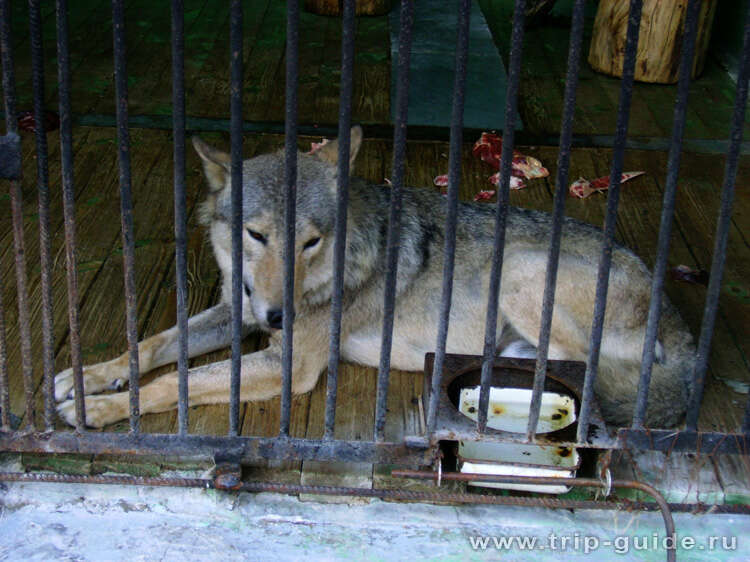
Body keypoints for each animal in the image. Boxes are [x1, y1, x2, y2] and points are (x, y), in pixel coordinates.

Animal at [55, 126, 696, 424]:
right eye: (256, 236)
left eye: (310, 242)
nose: (279, 317)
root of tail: (677, 318)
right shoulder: (236, 315)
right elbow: (152, 345)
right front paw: (90, 377)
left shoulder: (290, 364)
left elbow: (176, 381)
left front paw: (107, 409)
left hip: (520, 270)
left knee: (577, 368)